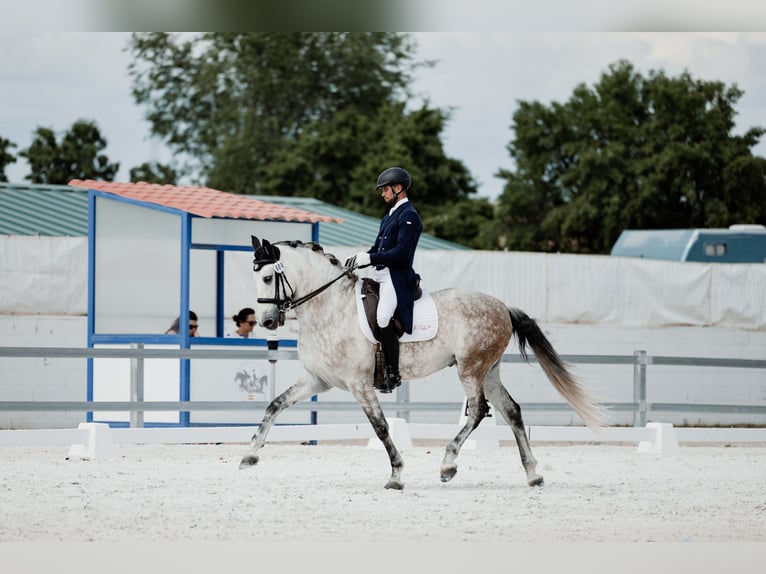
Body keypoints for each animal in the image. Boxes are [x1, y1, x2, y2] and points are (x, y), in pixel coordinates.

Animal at [240, 238, 608, 490]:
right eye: (254, 278)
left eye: (268, 278)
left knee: (478, 410)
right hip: (489, 370)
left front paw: (396, 474)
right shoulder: (318, 380)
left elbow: (382, 428)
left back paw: (448, 465)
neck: (330, 308)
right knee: (512, 411)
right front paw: (249, 455)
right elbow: (275, 405)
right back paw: (533, 474)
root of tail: (502, 306)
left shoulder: (359, 385)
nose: (268, 321)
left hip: (470, 369)